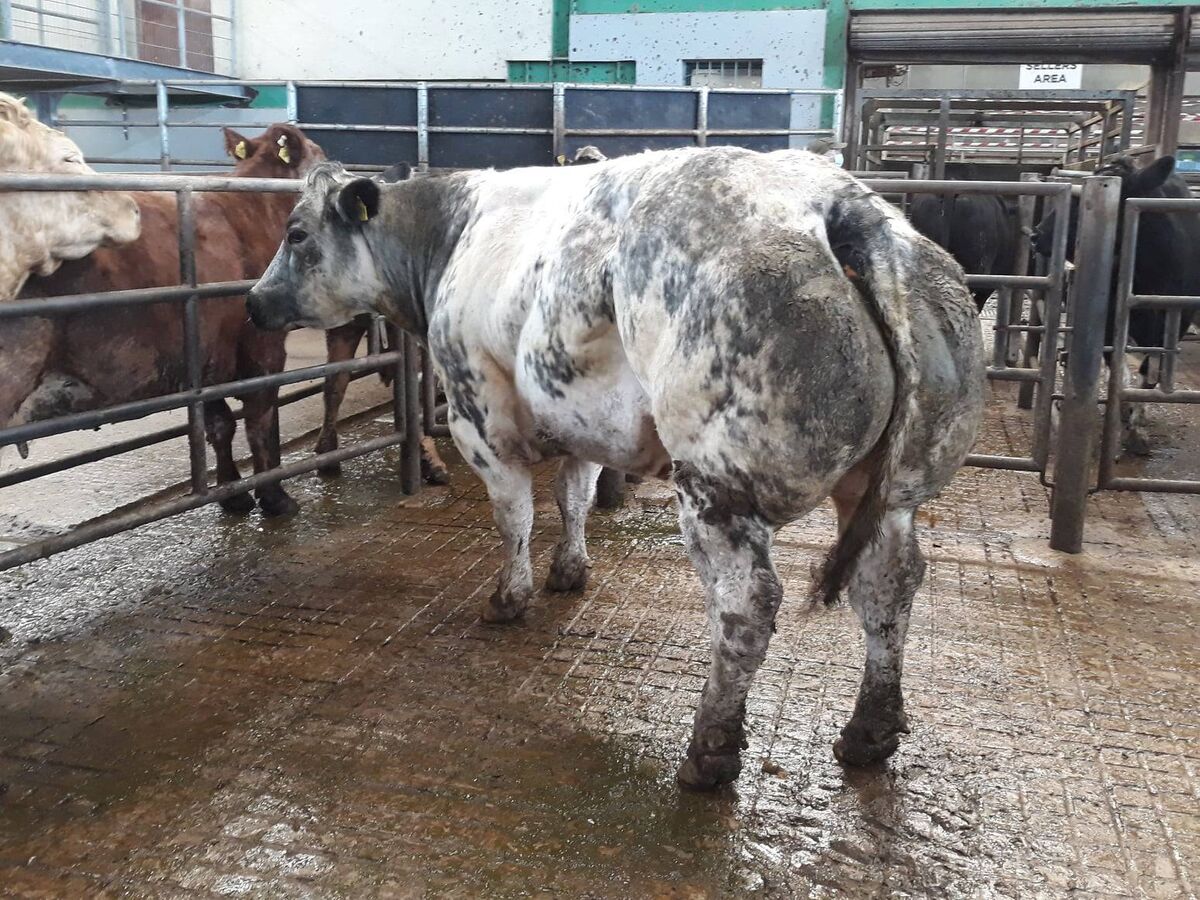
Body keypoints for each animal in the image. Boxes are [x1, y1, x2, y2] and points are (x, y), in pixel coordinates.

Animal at [3, 124, 324, 515]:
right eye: (320, 156)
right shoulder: (261, 344)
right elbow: (259, 419)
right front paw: (275, 496)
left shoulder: (203, 352)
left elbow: (219, 424)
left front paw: (233, 494)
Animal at [247, 147, 985, 789]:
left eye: (296, 232)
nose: (254, 301)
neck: (454, 237)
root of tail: (838, 202)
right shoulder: (574, 417)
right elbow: (572, 496)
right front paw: (569, 570)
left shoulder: (477, 415)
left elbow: (513, 517)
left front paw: (509, 597)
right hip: (893, 492)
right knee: (888, 584)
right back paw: (869, 732)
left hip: (716, 487)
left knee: (747, 604)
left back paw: (710, 750)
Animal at [1033, 154, 1200, 451]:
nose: (1036, 235)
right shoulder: (1111, 318)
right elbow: (1117, 366)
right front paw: (1124, 415)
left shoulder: (1176, 319)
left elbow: (1151, 371)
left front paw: (1137, 427)